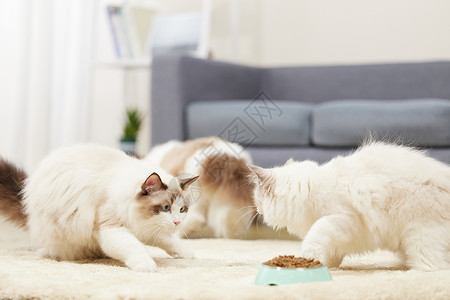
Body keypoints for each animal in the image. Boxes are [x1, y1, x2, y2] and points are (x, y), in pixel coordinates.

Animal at [0, 144, 199, 274]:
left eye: (182, 209)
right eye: (165, 207)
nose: (177, 222)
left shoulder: (150, 228)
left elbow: (170, 242)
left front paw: (187, 254)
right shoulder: (112, 228)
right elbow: (134, 247)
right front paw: (146, 266)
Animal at [250, 142, 450, 270]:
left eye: (257, 199)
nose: (257, 209)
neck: (309, 190)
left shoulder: (343, 219)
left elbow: (316, 234)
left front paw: (308, 258)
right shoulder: (341, 235)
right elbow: (331, 252)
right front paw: (327, 265)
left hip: (419, 235)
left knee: (432, 266)